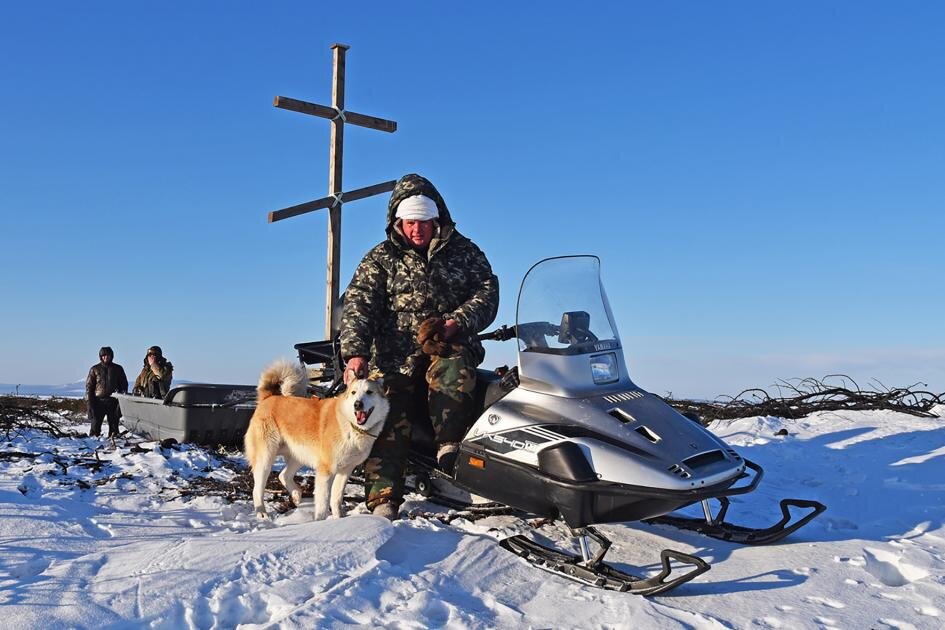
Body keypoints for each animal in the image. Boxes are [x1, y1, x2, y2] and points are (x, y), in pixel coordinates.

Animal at [247, 362, 390, 520]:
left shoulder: (345, 471)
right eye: (353, 392)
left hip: (299, 457)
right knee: (257, 489)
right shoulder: (325, 471)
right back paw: (261, 512)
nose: (357, 404)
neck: (351, 426)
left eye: (369, 392)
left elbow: (336, 499)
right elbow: (323, 504)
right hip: (265, 459)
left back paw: (296, 495)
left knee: (283, 475)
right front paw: (320, 523)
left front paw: (339, 519)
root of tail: (269, 397)